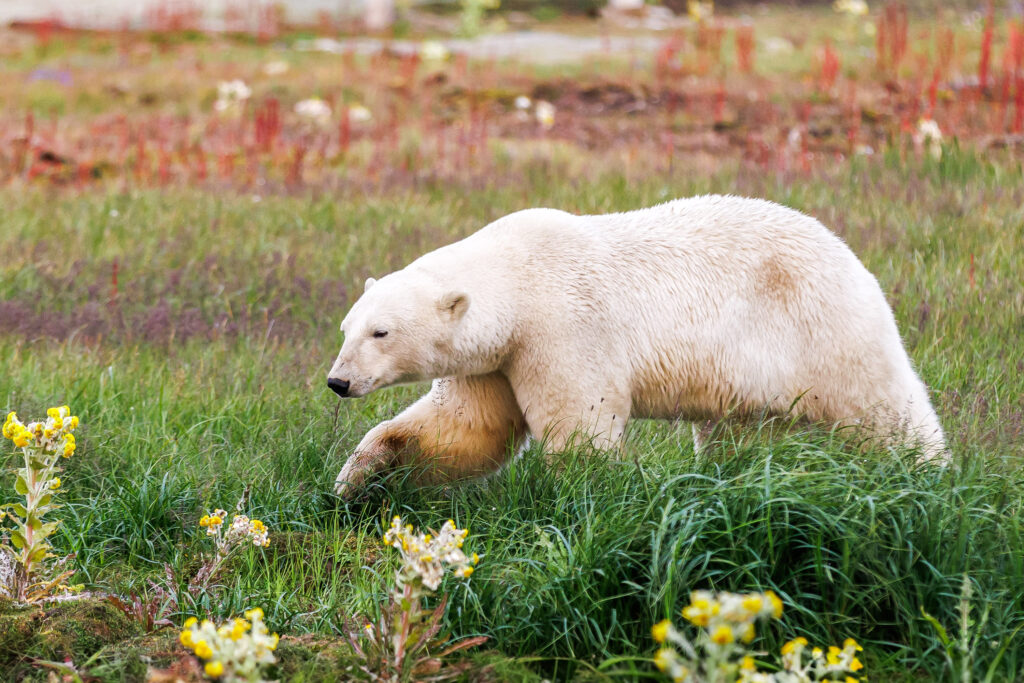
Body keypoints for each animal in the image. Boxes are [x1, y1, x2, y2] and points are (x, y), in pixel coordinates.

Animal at [325, 194, 942, 493]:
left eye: (382, 331)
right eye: (347, 327)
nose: (338, 380)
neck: (519, 275)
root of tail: (853, 260)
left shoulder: (560, 329)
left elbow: (580, 424)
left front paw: (589, 492)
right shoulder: (496, 360)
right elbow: (463, 430)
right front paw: (360, 476)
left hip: (819, 329)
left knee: (885, 408)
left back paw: (926, 473)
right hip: (751, 379)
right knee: (737, 434)